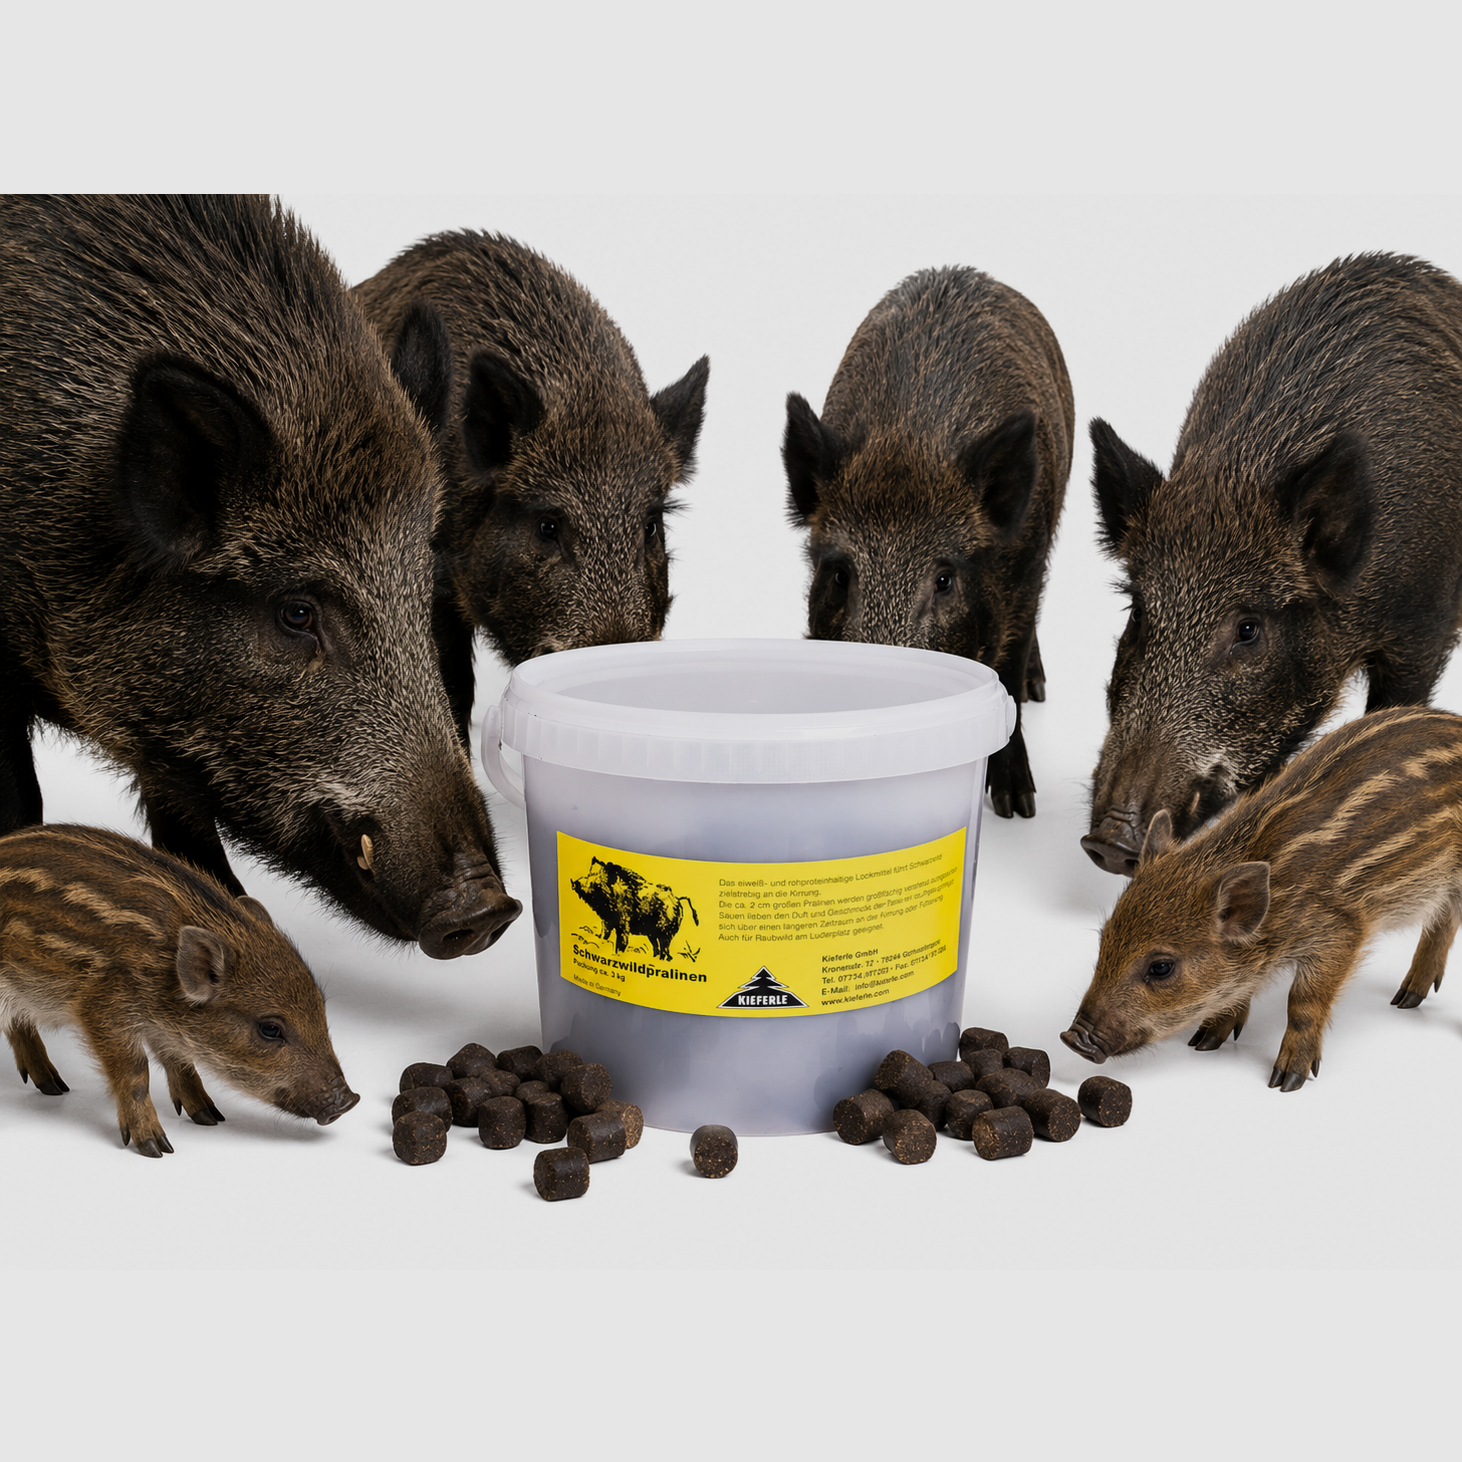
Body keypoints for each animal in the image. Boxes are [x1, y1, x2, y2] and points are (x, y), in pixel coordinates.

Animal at [0, 824, 358, 1155]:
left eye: (320, 1007)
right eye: (270, 1029)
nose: (348, 1101)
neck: (162, 974)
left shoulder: (164, 1028)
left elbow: (180, 1061)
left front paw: (210, 1116)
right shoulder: (103, 1009)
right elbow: (136, 1072)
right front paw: (155, 1147)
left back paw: (54, 1086)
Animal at [783, 266, 1073, 817]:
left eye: (944, 580)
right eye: (839, 574)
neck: (910, 446)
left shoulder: (1025, 572)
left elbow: (1007, 674)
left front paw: (1018, 807)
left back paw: (1040, 688)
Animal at [1063, 706, 1462, 1091]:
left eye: (1161, 967)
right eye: (1104, 941)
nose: (1072, 1039)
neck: (1279, 906)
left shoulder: (1341, 932)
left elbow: (1302, 1002)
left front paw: (1287, 1081)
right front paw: (1205, 1041)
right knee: (1444, 919)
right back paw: (1406, 999)